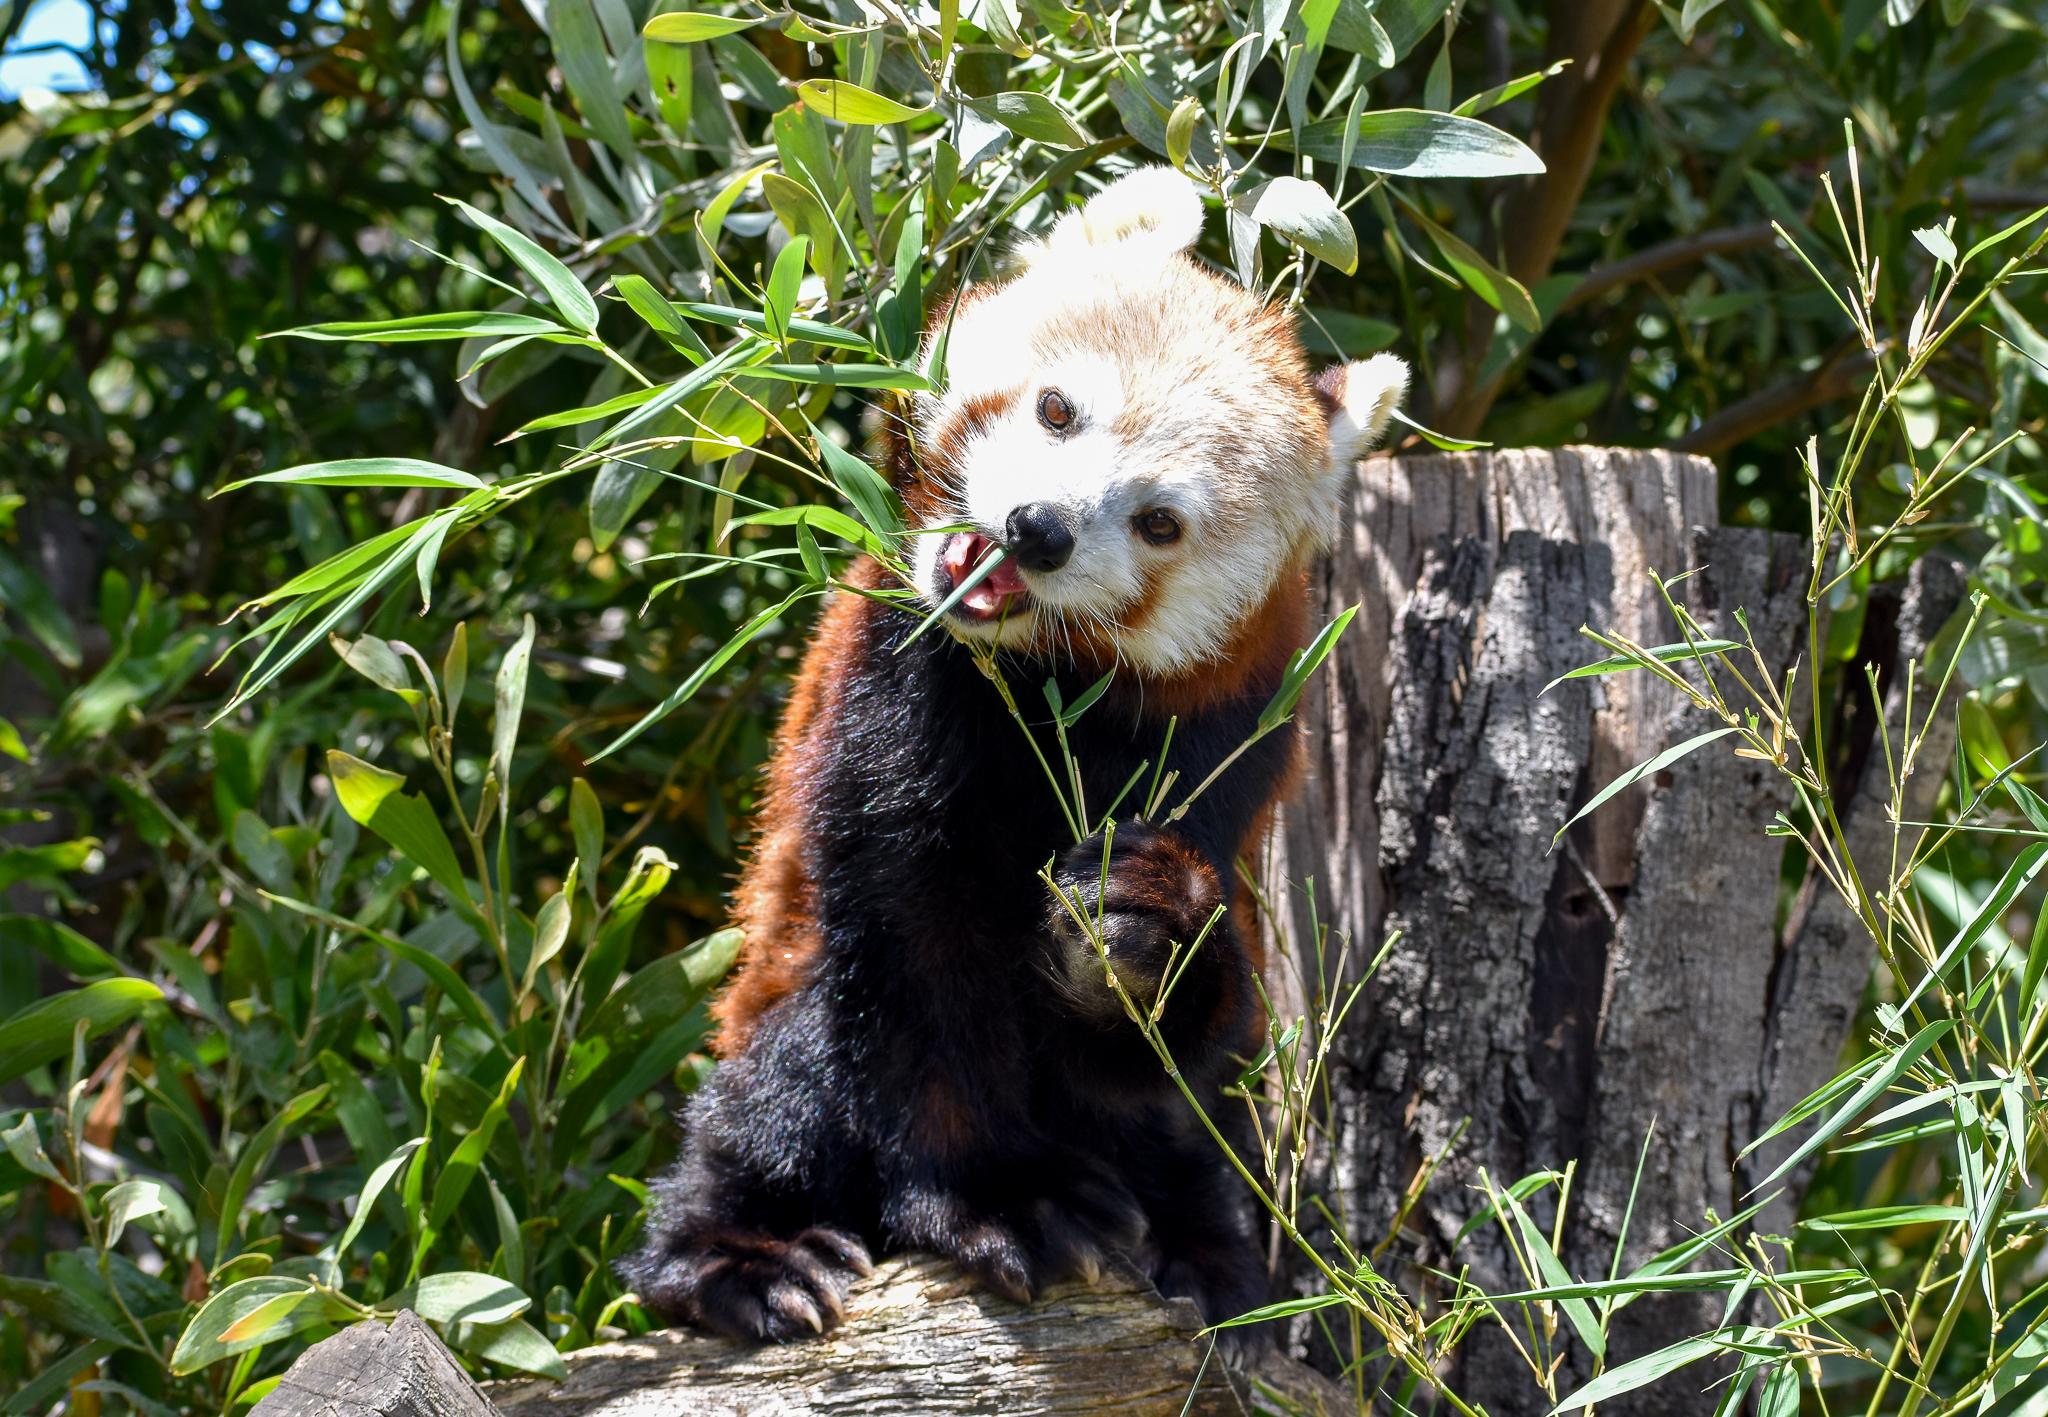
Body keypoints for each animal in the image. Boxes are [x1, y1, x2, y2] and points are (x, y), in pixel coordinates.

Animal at [620, 167, 1408, 1348]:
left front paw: (1138, 920)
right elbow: (920, 960)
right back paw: (741, 1252)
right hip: (772, 1016)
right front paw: (999, 1198)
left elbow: (1154, 1046)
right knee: (781, 1085)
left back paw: (1208, 1258)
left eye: (1159, 522)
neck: (1043, 692)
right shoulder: (897, 692)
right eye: (1056, 410)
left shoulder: (1232, 734)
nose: (1037, 528)